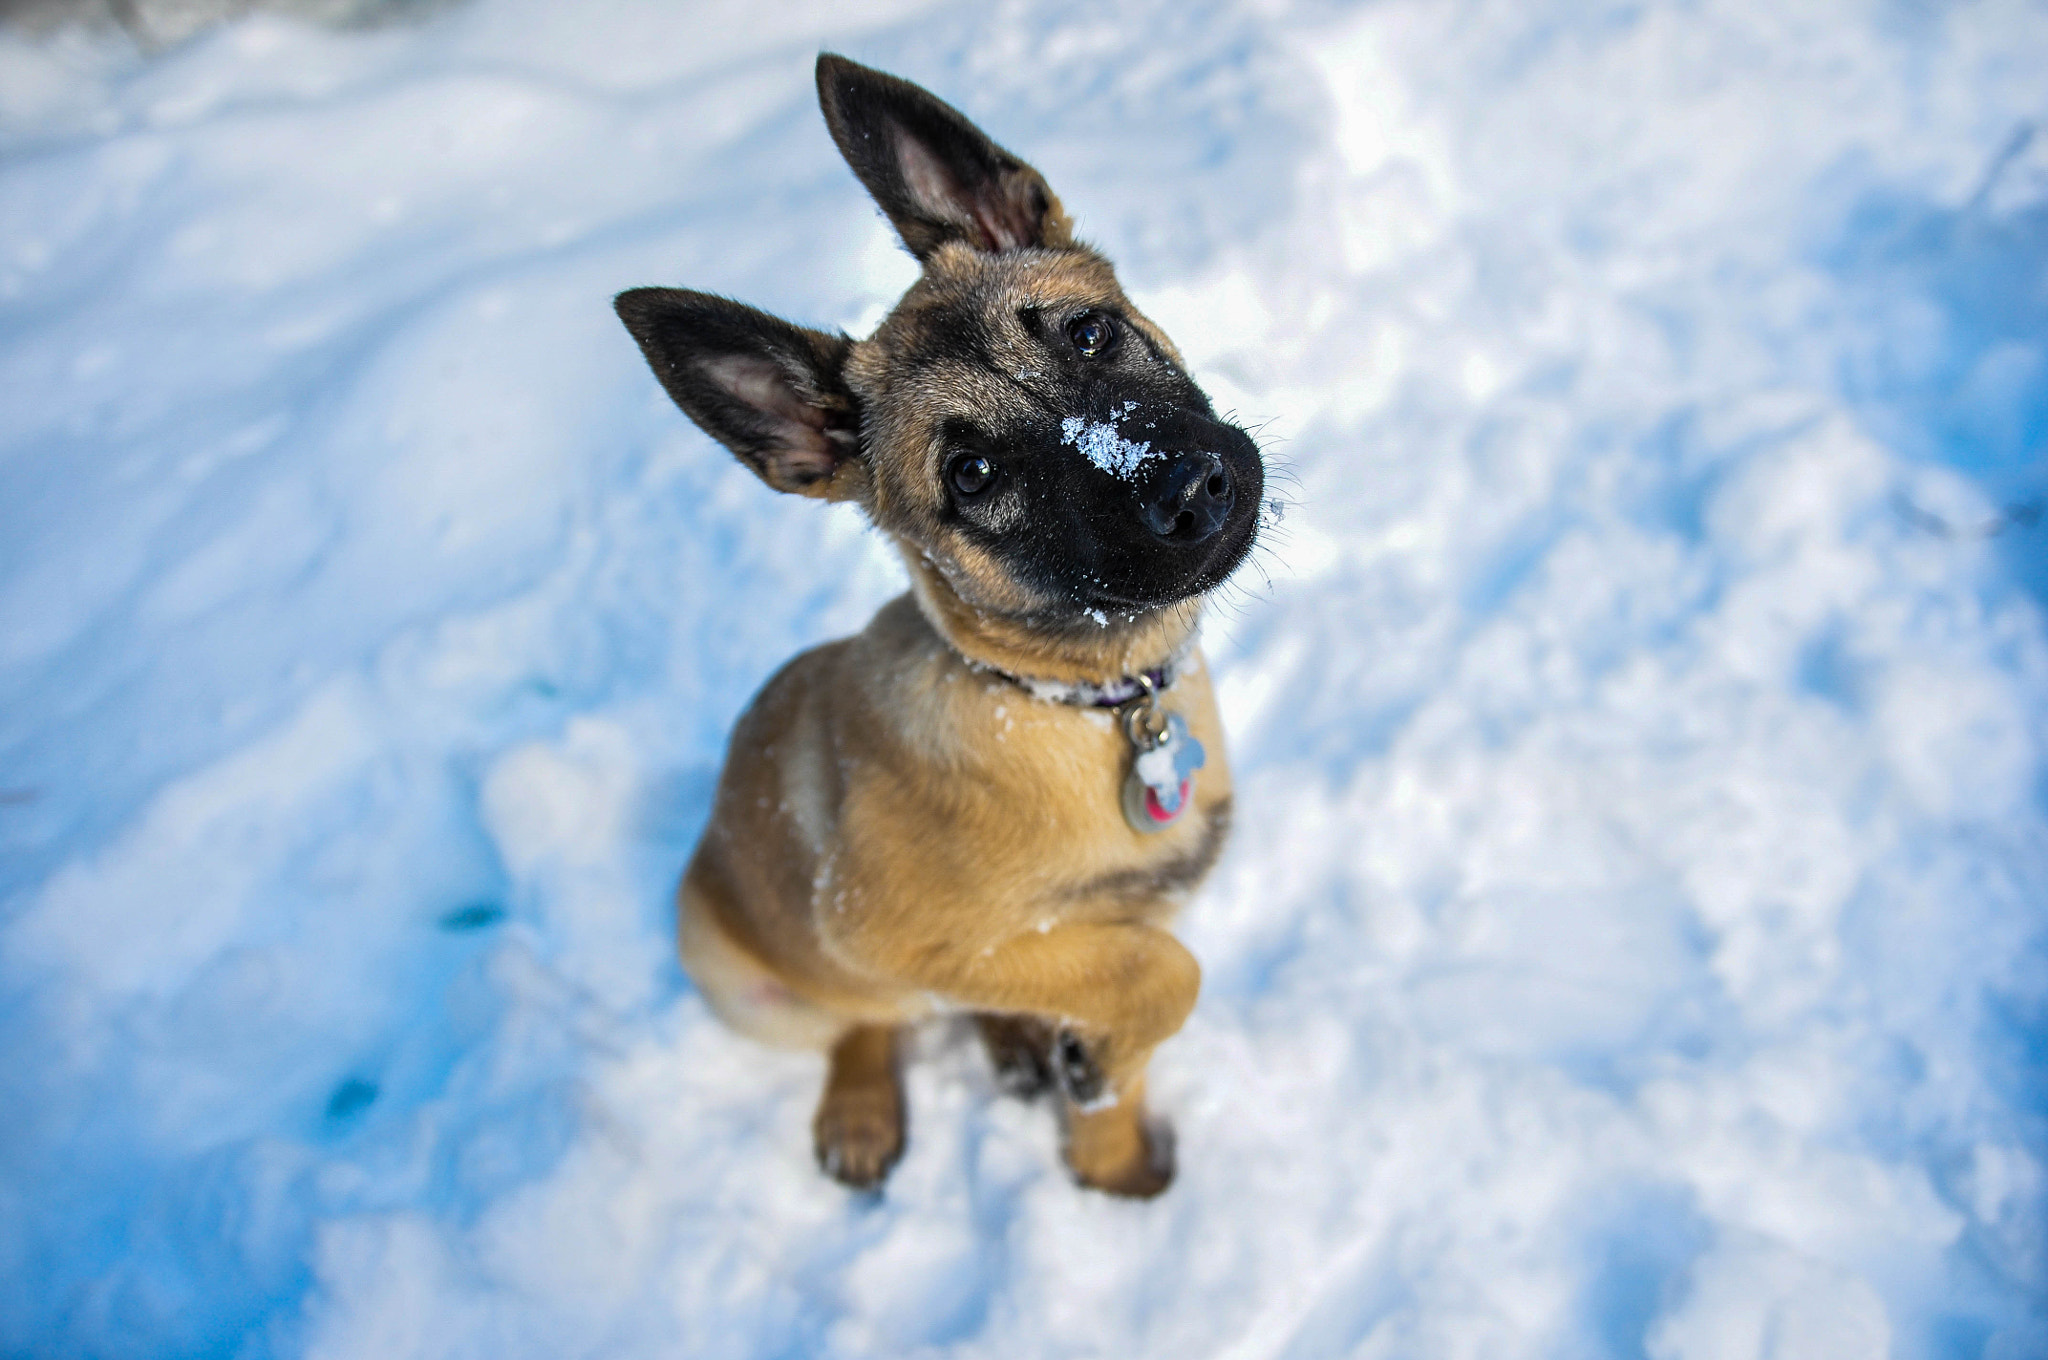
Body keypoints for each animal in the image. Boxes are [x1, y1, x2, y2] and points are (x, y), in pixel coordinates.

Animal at [614, 55, 1261, 1204]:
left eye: (1088, 332)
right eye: (972, 474)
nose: (1190, 491)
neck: (1076, 704)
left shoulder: (1138, 909)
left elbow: (1122, 1013)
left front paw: (1110, 1164)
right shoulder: (888, 932)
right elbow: (1148, 971)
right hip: (735, 972)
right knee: (860, 1026)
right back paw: (867, 1108)